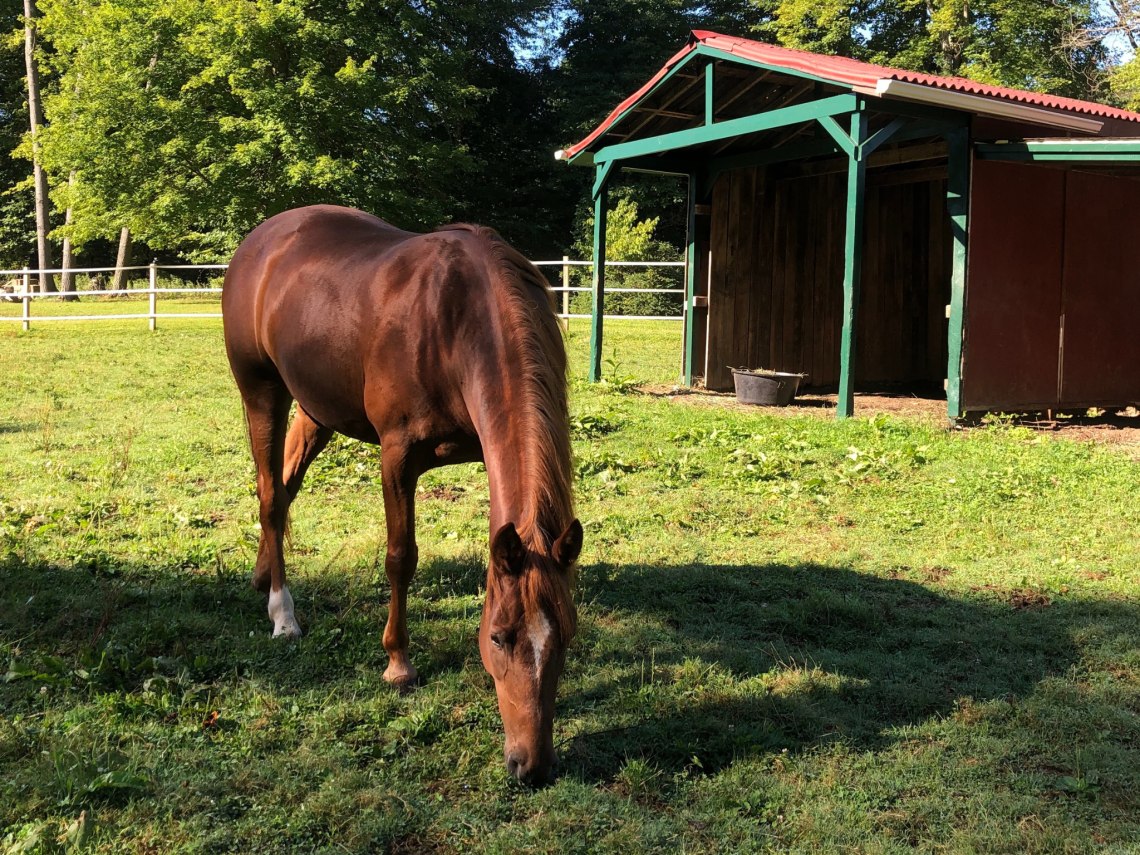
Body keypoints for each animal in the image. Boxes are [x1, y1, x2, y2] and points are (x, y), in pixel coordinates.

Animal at [221, 205, 582, 785]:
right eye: (499, 637)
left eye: (567, 636)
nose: (532, 766)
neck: (456, 322)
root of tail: (263, 237)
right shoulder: (397, 456)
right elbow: (400, 558)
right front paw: (397, 663)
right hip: (261, 391)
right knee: (271, 496)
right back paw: (283, 614)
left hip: (317, 407)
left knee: (285, 485)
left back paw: (260, 576)